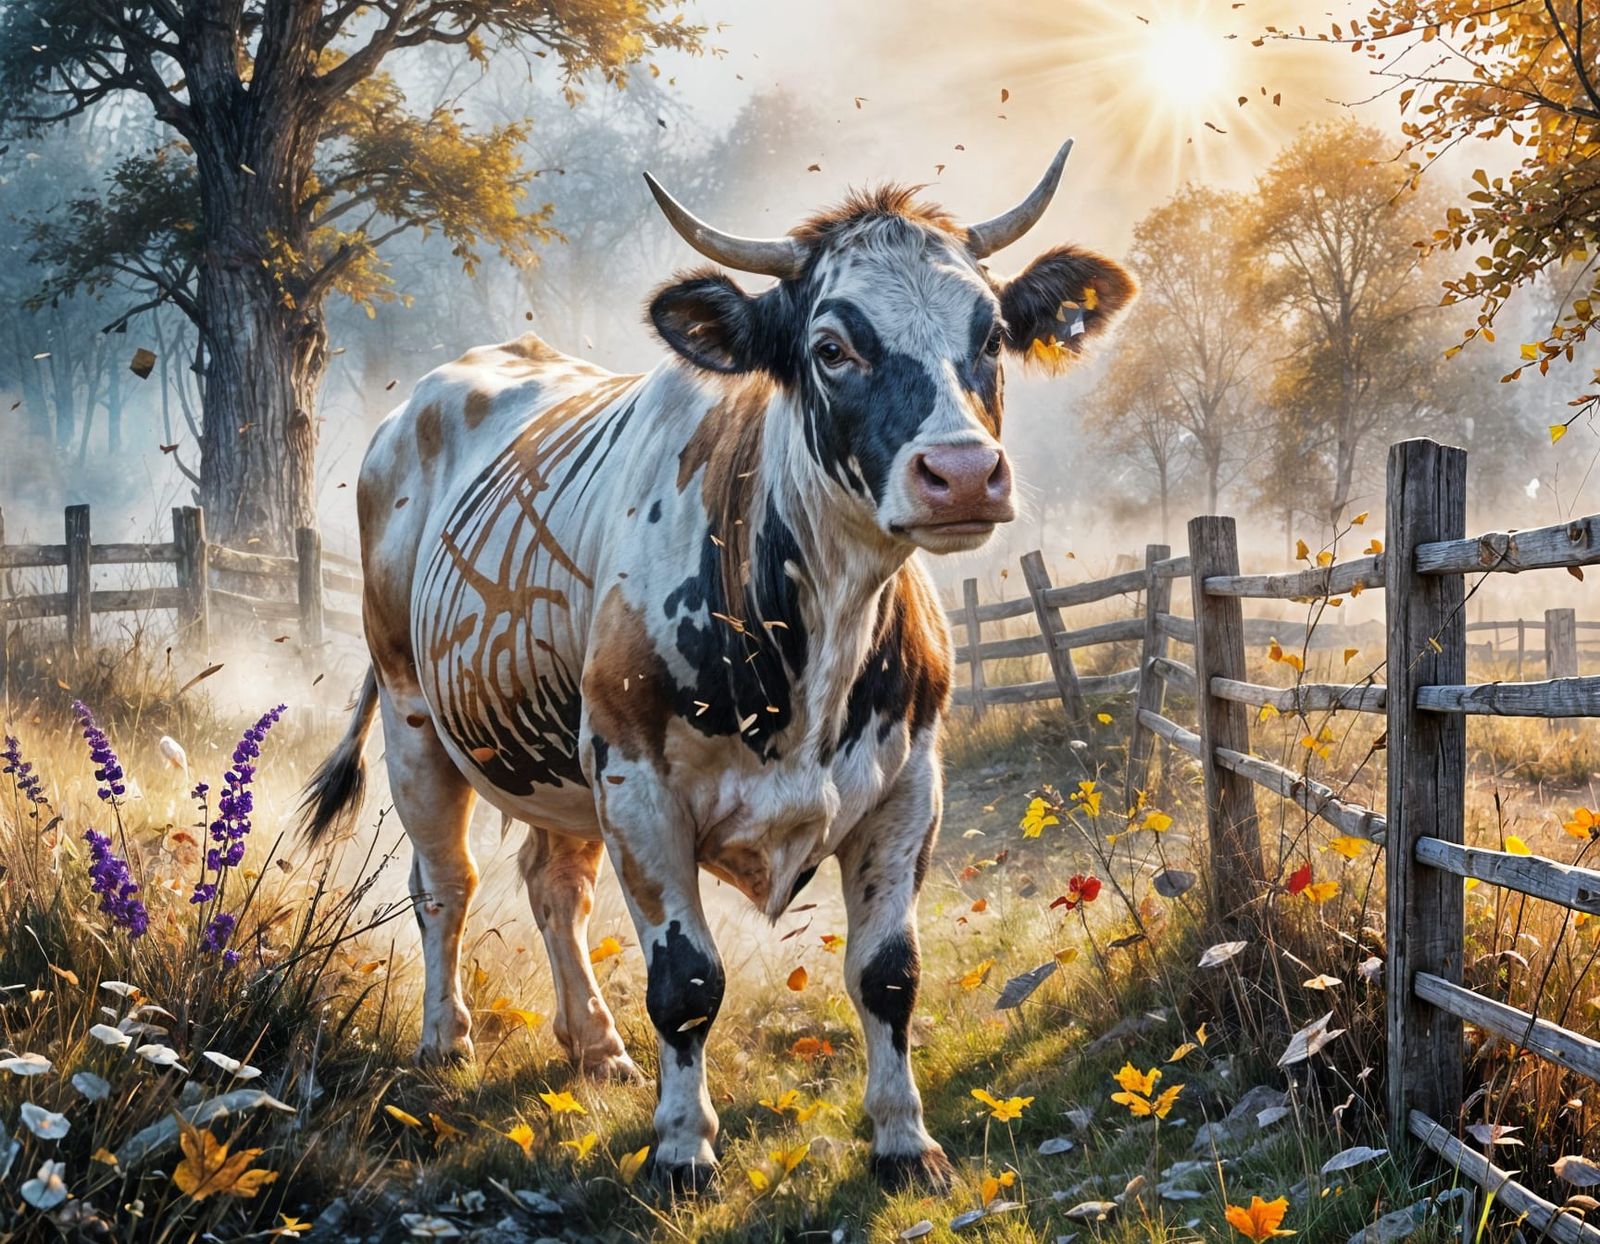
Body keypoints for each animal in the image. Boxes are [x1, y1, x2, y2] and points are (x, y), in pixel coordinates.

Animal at [298, 140, 1134, 1193]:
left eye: (990, 336)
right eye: (832, 347)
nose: (963, 474)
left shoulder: (910, 786)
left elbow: (888, 974)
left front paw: (906, 1141)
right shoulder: (639, 787)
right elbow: (687, 982)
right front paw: (682, 1150)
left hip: (561, 761)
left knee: (553, 885)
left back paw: (596, 1046)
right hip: (417, 722)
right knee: (444, 884)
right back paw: (447, 1040)